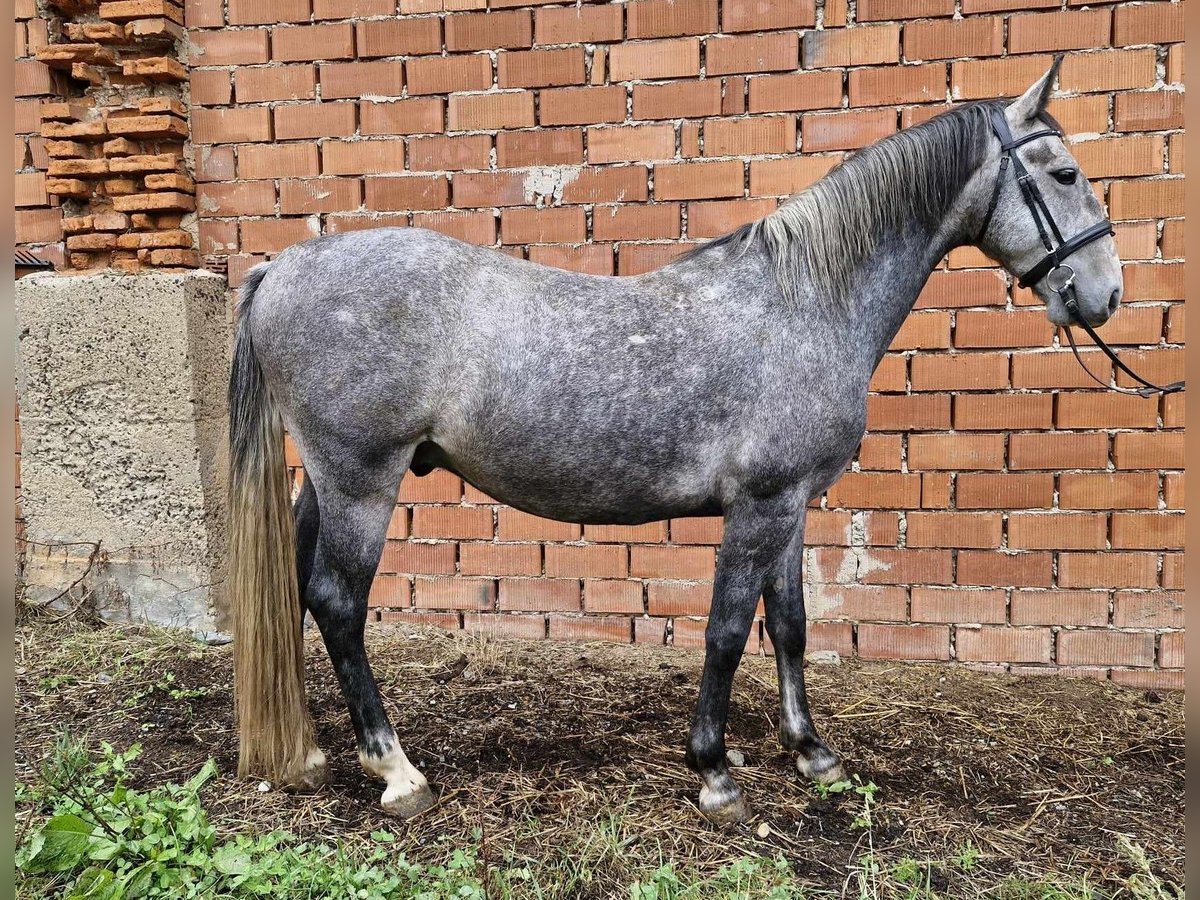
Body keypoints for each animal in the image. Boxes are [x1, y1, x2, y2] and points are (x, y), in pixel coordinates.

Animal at [226, 60, 1123, 830]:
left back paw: (310, 747)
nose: (1105, 294)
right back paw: (397, 771)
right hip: (362, 482)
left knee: (300, 589)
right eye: (1065, 175)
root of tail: (281, 268)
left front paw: (812, 753)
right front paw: (715, 772)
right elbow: (726, 631)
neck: (803, 302)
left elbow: (789, 624)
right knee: (338, 602)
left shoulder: (791, 506)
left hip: (326, 481)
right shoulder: (759, 507)